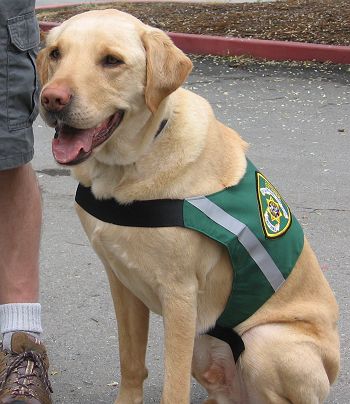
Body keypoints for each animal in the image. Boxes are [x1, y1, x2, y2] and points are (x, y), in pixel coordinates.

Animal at [37, 9, 340, 404]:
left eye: (111, 61)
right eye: (56, 53)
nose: (51, 99)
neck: (129, 169)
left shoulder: (180, 293)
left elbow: (174, 385)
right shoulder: (121, 282)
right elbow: (130, 361)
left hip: (263, 341)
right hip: (203, 343)